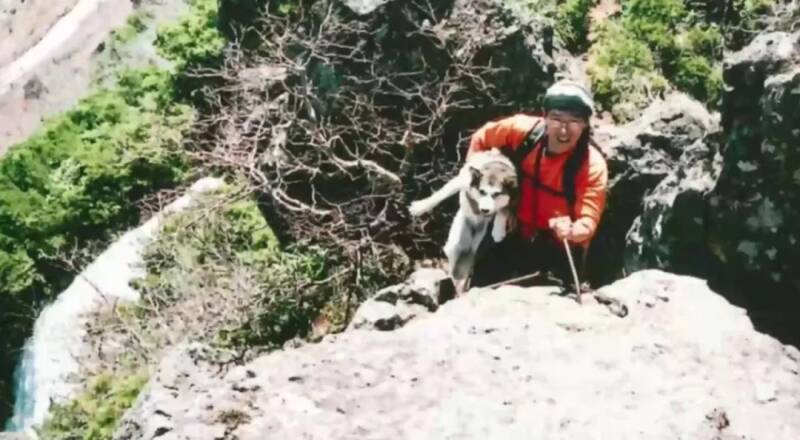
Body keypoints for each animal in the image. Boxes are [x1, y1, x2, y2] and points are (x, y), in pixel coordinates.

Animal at [406, 149, 520, 296]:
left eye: (496, 194)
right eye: (482, 191)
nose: (484, 210)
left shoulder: (513, 198)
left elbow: (503, 211)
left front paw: (498, 230)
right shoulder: (461, 181)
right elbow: (440, 194)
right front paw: (421, 206)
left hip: (475, 249)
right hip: (454, 245)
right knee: (453, 268)